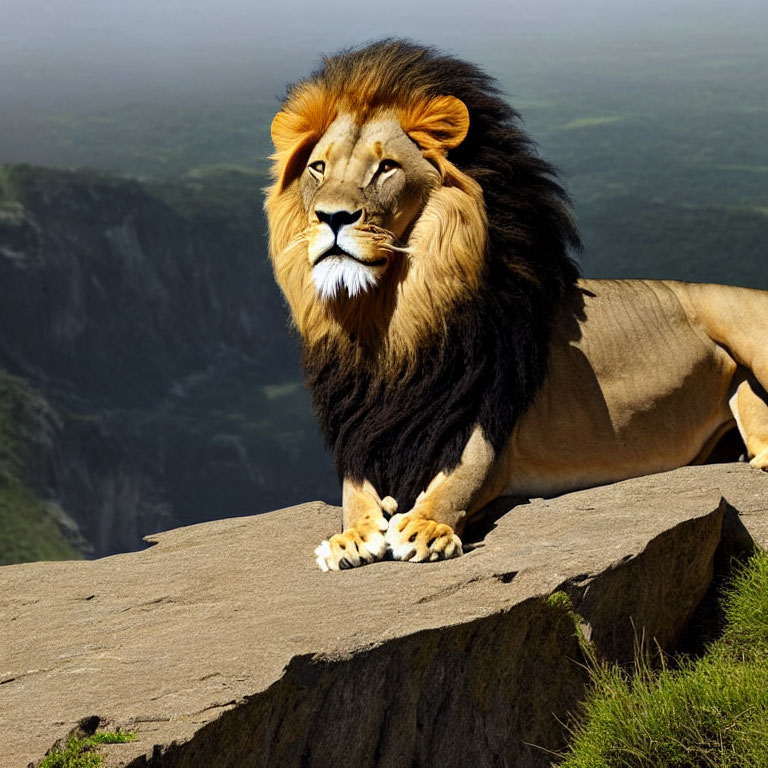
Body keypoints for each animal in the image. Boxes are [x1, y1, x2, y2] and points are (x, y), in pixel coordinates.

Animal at [266, 40, 768, 568]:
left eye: (386, 167)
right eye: (319, 168)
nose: (332, 217)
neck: (390, 321)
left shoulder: (485, 421)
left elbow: (459, 477)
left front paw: (426, 528)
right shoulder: (364, 427)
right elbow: (353, 490)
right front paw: (353, 534)